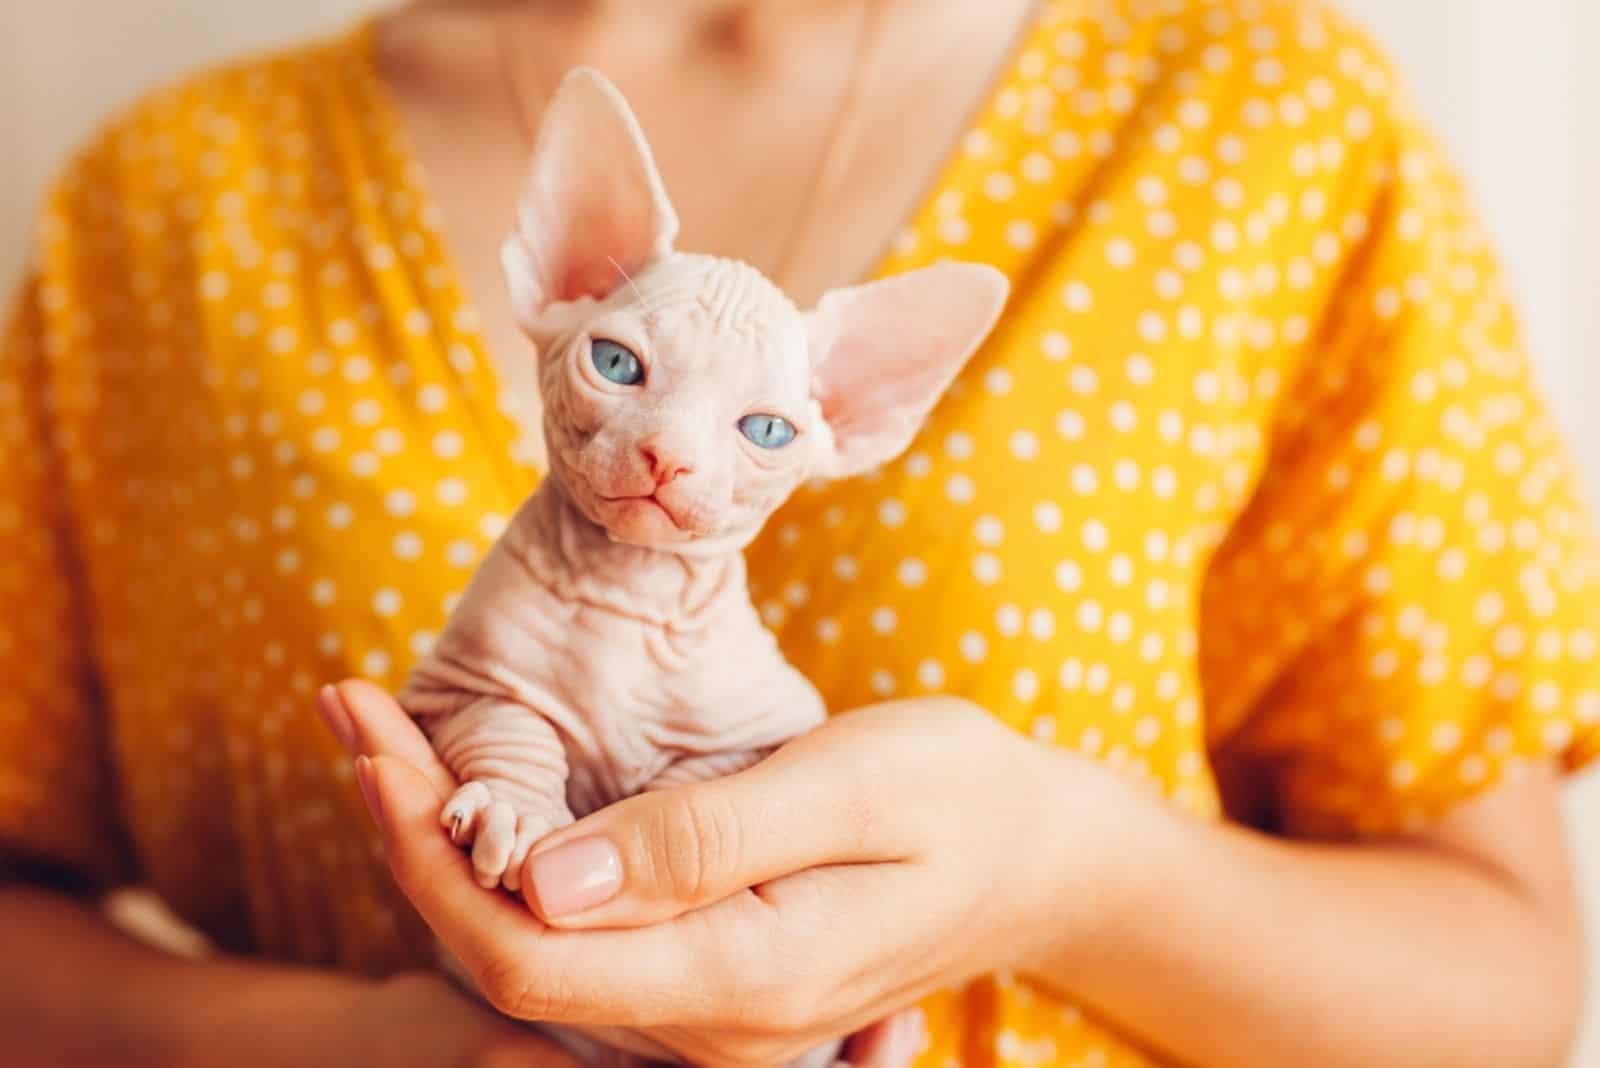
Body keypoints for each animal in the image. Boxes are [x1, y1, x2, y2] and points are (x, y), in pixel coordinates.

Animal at [396, 68, 998, 1068]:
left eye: (766, 430)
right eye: (615, 362)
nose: (667, 459)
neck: (627, 591)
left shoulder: (772, 729)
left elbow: (702, 775)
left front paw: (633, 809)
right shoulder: (453, 683)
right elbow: (511, 723)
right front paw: (519, 810)